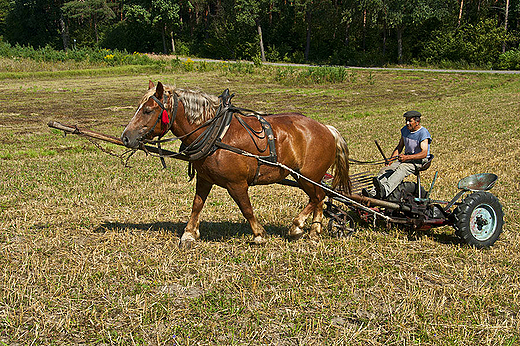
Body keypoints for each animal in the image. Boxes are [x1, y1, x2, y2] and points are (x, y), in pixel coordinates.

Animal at [121, 82, 350, 247]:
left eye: (147, 110)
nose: (125, 137)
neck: (215, 133)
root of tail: (327, 129)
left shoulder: (237, 183)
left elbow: (246, 208)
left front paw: (259, 234)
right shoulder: (204, 179)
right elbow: (197, 205)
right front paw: (188, 234)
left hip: (307, 175)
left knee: (317, 197)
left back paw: (297, 227)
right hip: (307, 176)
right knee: (319, 198)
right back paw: (314, 233)